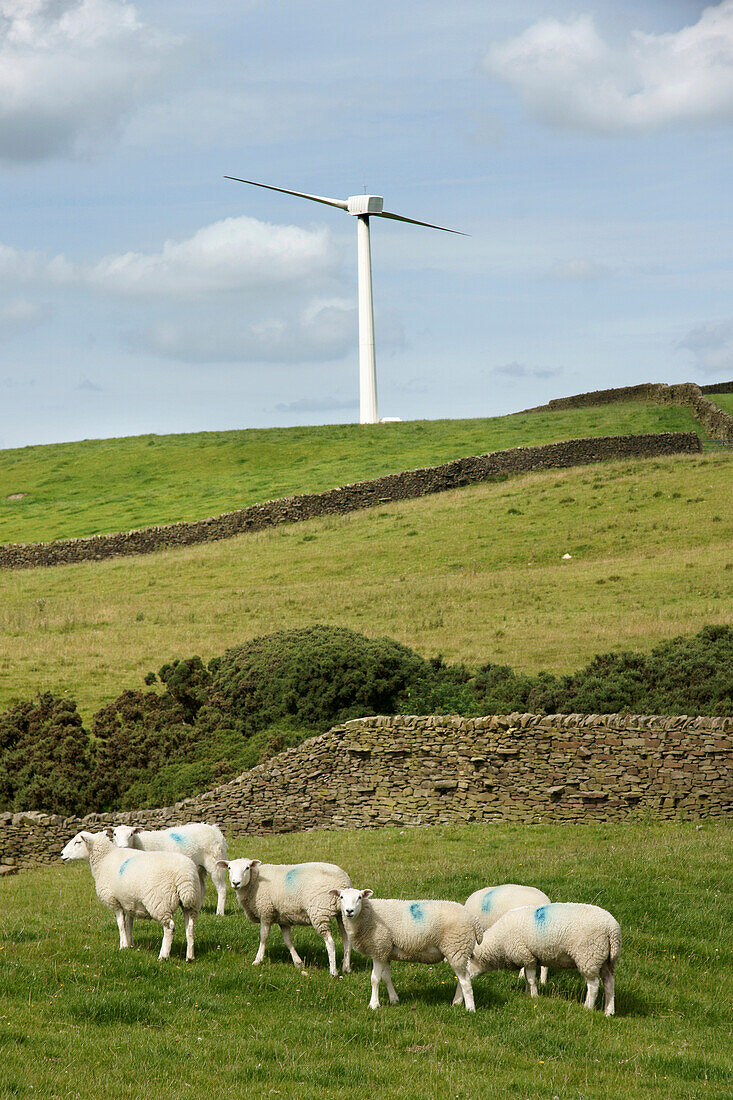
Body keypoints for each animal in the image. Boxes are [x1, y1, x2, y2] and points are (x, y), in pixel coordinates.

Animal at [57, 827, 202, 959]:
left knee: (169, 927)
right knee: (190, 927)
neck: (103, 859)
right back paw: (190, 957)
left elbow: (121, 924)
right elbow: (128, 923)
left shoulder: (114, 901)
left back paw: (163, 955)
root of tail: (184, 874)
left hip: (159, 902)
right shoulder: (129, 901)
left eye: (77, 842)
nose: (61, 854)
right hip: (192, 901)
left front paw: (123, 946)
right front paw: (130, 944)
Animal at [220, 853, 352, 976]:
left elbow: (263, 936)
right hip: (342, 913)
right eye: (229, 868)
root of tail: (343, 882)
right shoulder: (283, 919)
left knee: (330, 942)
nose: (235, 883)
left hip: (319, 912)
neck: (255, 881)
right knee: (346, 939)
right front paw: (298, 963)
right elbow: (288, 940)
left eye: (247, 868)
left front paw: (258, 960)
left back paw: (333, 971)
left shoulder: (265, 912)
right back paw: (346, 968)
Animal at [332, 888, 482, 1007]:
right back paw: (457, 1002)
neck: (368, 915)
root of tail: (474, 919)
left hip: (457, 947)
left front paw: (373, 1004)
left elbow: (375, 979)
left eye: (359, 897)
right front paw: (394, 999)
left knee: (465, 981)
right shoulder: (385, 951)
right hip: (459, 951)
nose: (349, 911)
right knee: (462, 979)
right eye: (341, 897)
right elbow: (386, 977)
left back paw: (469, 1008)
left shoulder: (378, 949)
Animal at [460, 902, 620, 1012]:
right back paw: (609, 1011)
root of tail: (612, 929)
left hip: (589, 955)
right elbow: (526, 977)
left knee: (593, 985)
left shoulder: (526, 956)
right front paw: (526, 994)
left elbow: (531, 979)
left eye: (467, 963)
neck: (499, 943)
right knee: (609, 983)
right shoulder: (528, 958)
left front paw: (534, 996)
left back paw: (588, 1007)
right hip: (606, 960)